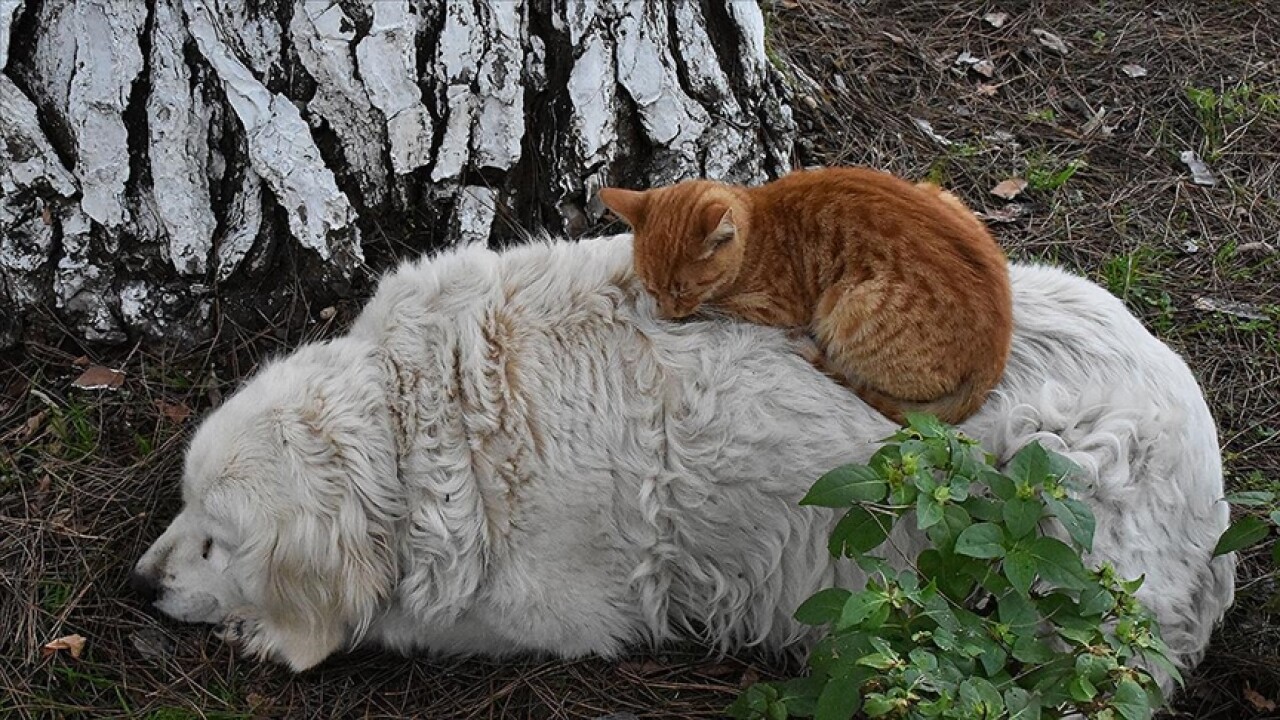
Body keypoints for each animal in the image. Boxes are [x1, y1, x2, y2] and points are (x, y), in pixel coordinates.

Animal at [129, 233, 1228, 686]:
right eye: (183, 510)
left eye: (220, 543)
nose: (139, 584)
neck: (419, 419)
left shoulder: (560, 613)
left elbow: (399, 618)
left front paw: (275, 633)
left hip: (1054, 498)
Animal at [604, 165, 1013, 422]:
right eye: (653, 286)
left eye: (683, 289)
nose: (666, 313)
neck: (757, 228)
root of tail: (994, 358)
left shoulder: (773, 308)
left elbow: (717, 308)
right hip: (941, 195)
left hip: (846, 306)